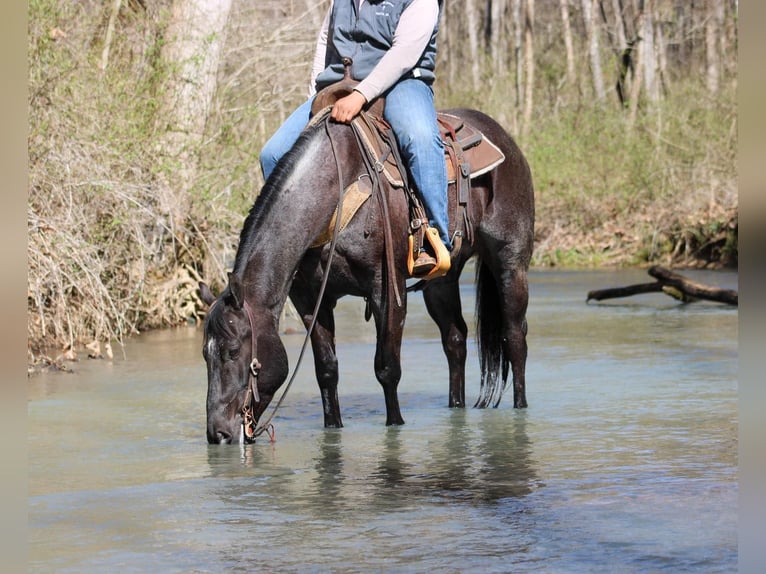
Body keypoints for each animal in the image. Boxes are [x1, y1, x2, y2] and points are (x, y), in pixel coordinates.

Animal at [198, 109, 536, 450]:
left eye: (233, 351)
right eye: (205, 355)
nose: (218, 434)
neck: (334, 192)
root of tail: (505, 140)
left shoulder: (386, 291)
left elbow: (387, 368)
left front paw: (395, 425)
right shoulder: (311, 300)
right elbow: (327, 370)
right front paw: (333, 426)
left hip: (511, 264)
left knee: (514, 336)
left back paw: (521, 407)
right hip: (442, 281)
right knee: (455, 340)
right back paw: (456, 407)